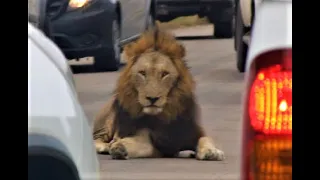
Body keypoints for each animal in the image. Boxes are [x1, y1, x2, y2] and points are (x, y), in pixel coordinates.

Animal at [92, 28, 225, 161]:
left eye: (165, 74)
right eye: (142, 73)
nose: (152, 98)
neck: (164, 115)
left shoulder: (193, 132)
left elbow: (206, 139)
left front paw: (212, 152)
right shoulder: (150, 140)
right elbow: (139, 143)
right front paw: (119, 147)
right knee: (96, 138)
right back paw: (106, 146)